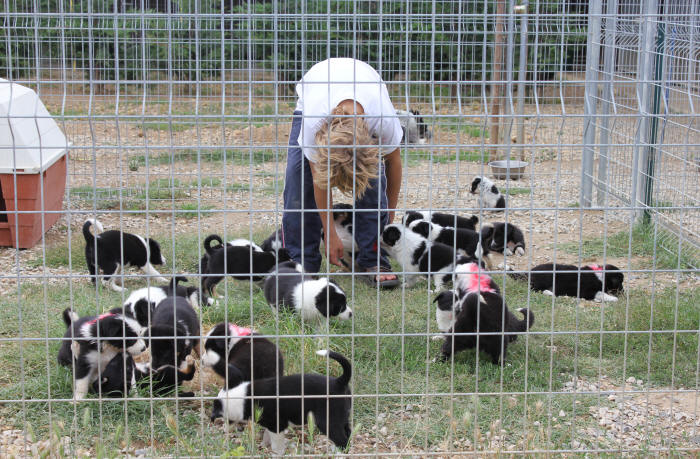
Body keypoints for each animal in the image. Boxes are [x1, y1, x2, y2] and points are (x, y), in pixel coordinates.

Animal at [206, 350, 350, 454]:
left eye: (227, 419)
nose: (224, 430)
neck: (244, 397)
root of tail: (339, 382)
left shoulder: (276, 426)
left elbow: (276, 444)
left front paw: (276, 453)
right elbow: (266, 436)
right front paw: (264, 446)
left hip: (328, 421)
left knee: (342, 440)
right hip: (343, 418)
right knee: (348, 435)